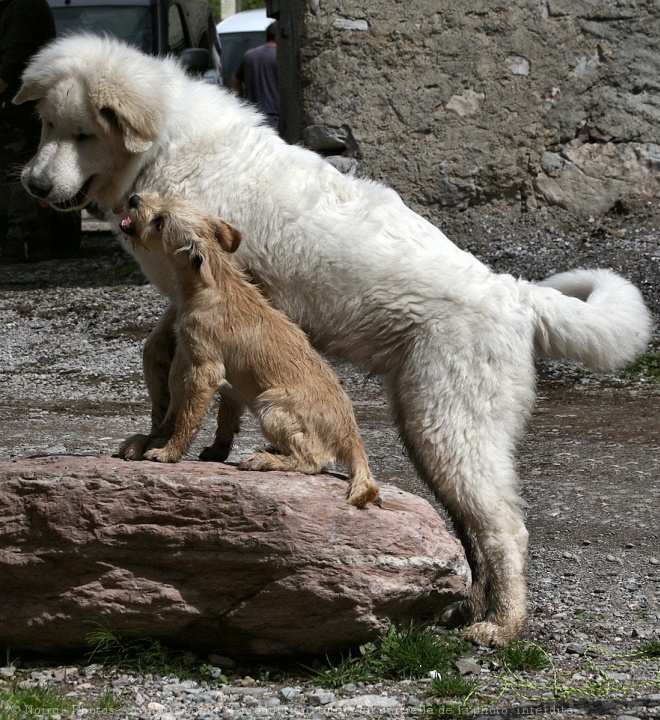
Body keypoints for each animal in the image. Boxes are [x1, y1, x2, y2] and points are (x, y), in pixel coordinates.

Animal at [116, 194, 378, 510]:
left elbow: (186, 418)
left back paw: (263, 460)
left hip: (271, 406)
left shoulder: (204, 370)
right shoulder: (187, 364)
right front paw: (153, 441)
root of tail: (351, 437)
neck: (210, 283)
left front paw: (169, 453)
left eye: (160, 221)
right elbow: (180, 414)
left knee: (313, 460)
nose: (134, 198)